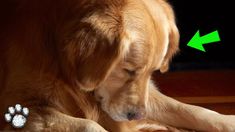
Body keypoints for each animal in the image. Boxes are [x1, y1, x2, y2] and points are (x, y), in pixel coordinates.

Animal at [0, 0, 235, 131]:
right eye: (128, 71)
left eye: (152, 72)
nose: (138, 116)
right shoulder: (19, 104)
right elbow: (89, 125)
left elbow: (194, 110)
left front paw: (228, 121)